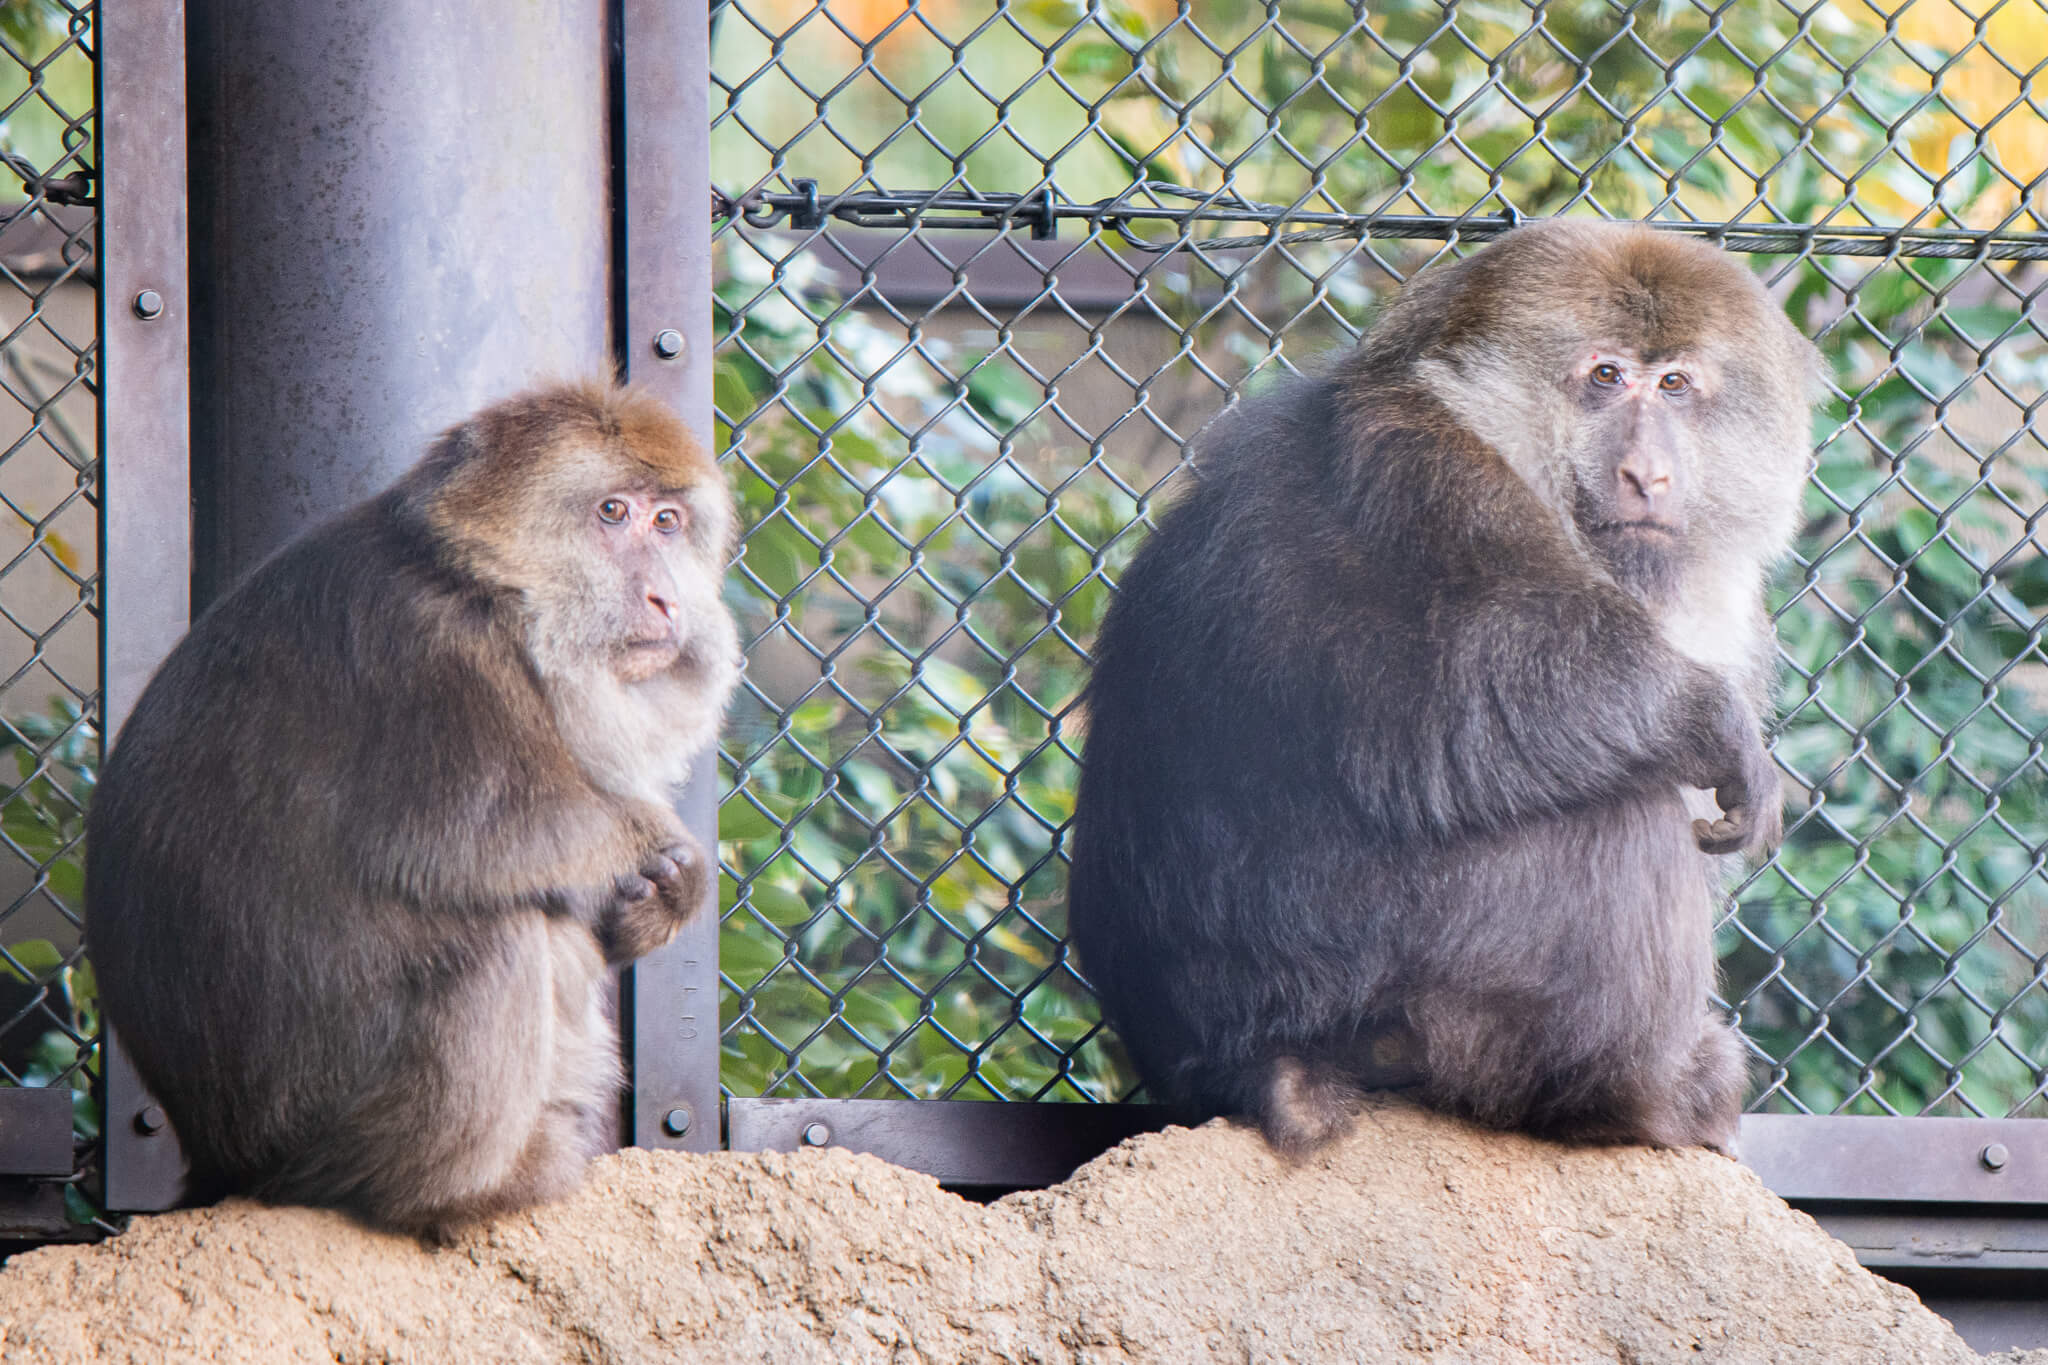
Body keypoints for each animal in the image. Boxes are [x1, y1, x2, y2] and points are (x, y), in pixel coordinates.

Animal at [92, 378, 745, 1236]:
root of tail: (220, 1159)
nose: (667, 597)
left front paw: (657, 898)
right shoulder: (429, 654)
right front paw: (674, 859)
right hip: (329, 1124)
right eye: (613, 512)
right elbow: (475, 839)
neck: (488, 588)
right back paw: (461, 1190)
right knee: (504, 938)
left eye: (668, 521)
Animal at [1064, 218, 1818, 1162]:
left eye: (1675, 384)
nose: (1649, 474)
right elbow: (1440, 716)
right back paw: (1635, 1096)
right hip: (1404, 983)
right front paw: (1708, 718)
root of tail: (1240, 1061)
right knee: (1620, 813)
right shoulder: (1426, 467)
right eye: (1606, 377)